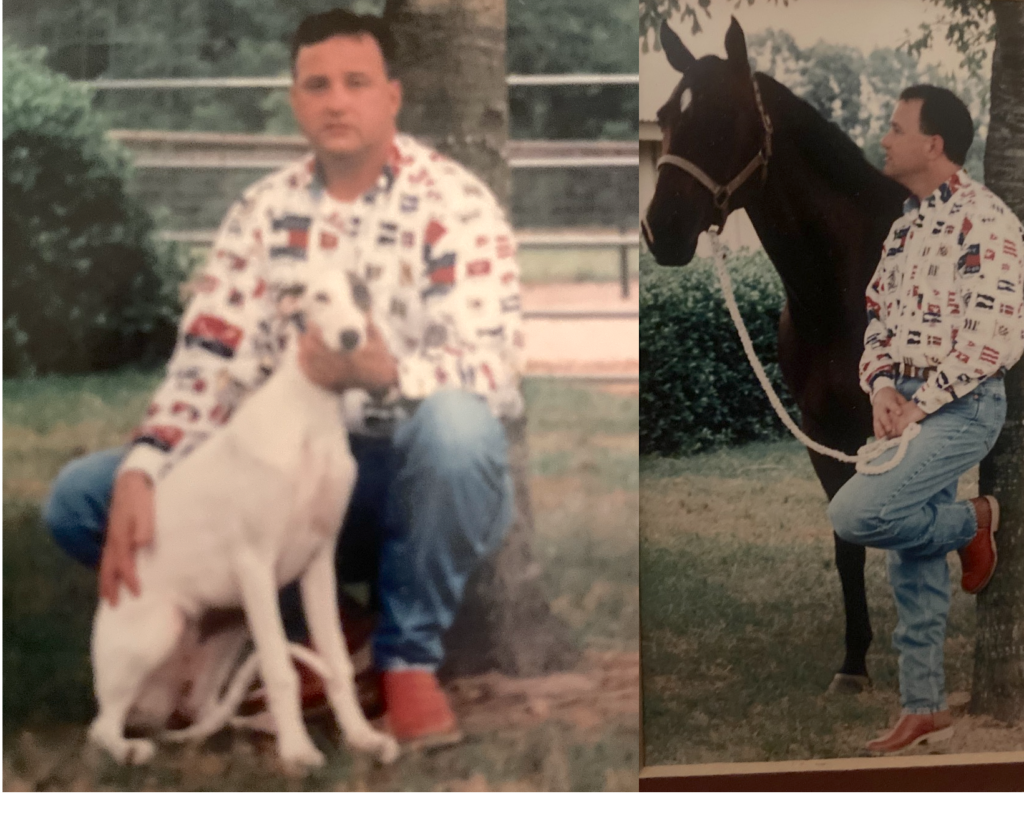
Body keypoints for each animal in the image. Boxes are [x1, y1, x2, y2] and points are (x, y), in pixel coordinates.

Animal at [89, 282, 399, 774]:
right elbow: (280, 671)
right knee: (101, 726)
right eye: (319, 297)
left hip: (230, 629)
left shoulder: (319, 563)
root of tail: (157, 713)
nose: (352, 337)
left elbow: (337, 663)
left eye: (361, 294)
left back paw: (250, 726)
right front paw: (297, 752)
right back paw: (129, 750)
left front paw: (361, 738)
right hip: (162, 629)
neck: (308, 414)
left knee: (204, 713)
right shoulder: (255, 565)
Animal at [643, 18, 909, 688]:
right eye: (665, 114)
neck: (843, 287)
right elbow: (847, 544)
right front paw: (854, 663)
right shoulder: (824, 430)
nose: (662, 230)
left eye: (723, 116)